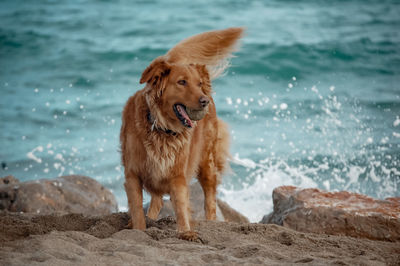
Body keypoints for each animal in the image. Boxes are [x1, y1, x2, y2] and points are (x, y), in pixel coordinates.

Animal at [119, 27, 244, 241]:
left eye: (198, 83)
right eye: (182, 82)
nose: (204, 101)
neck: (162, 128)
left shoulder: (177, 173)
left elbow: (181, 204)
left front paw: (186, 231)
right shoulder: (133, 174)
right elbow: (136, 208)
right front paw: (139, 229)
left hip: (206, 162)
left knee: (210, 198)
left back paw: (211, 220)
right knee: (157, 199)